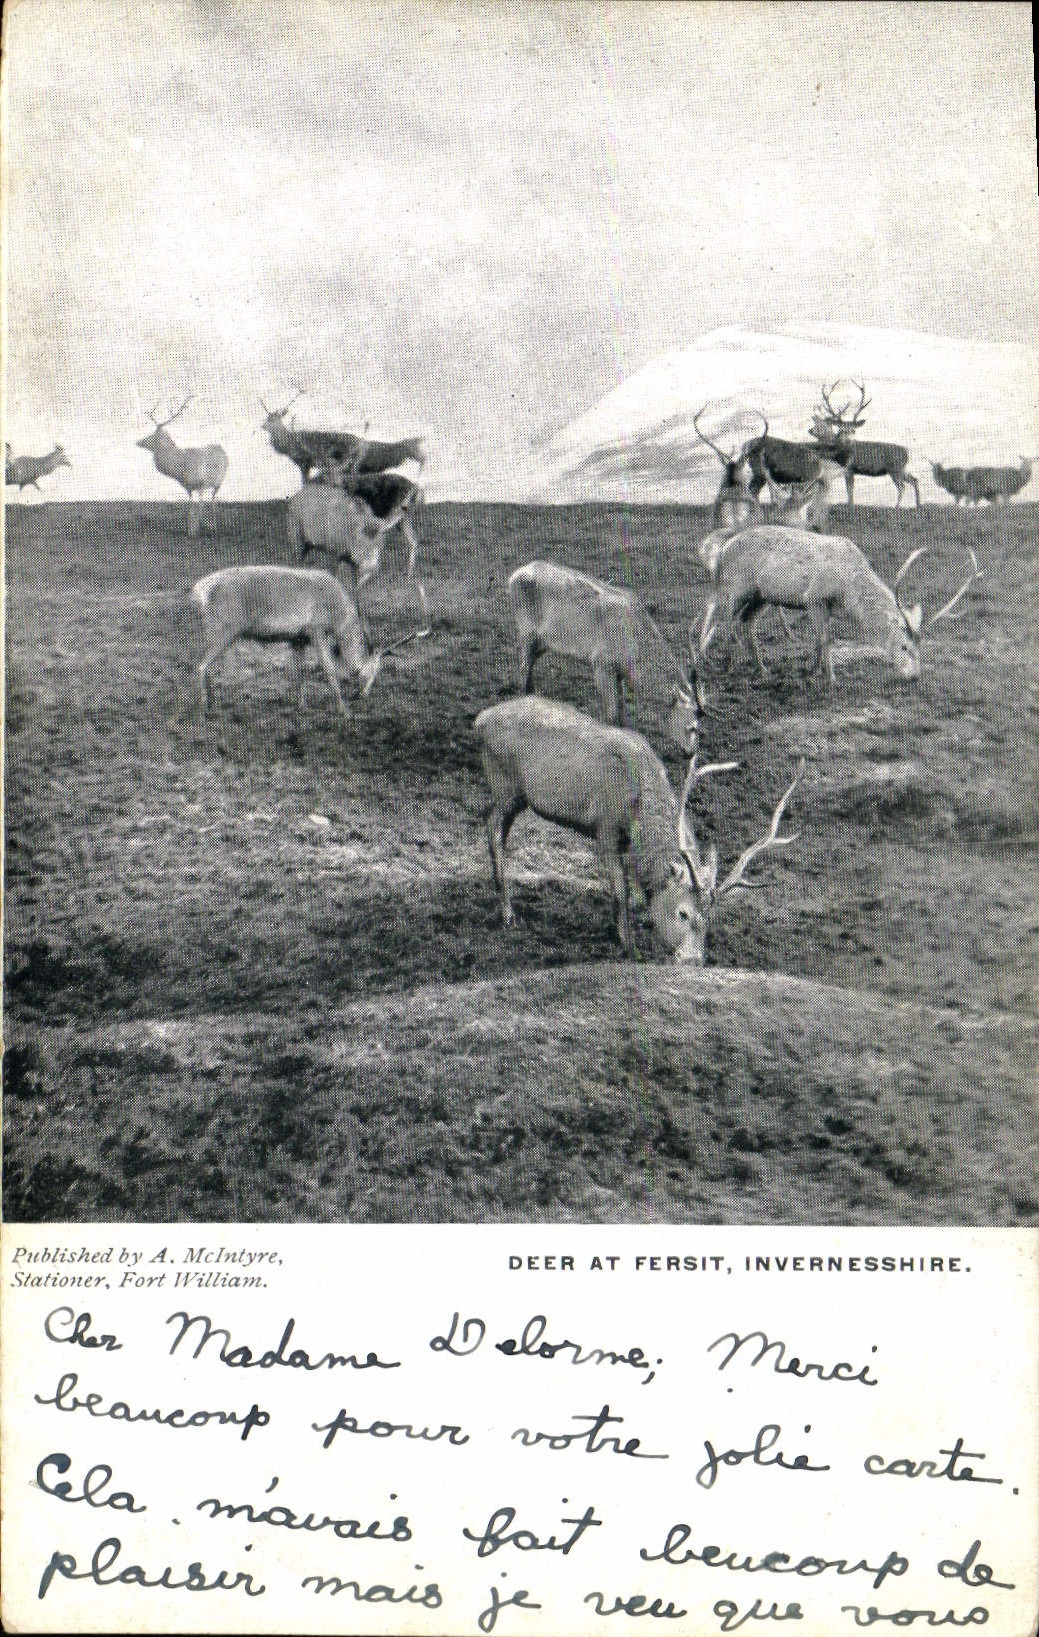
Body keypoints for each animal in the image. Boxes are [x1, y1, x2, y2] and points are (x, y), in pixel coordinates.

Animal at [136, 397, 228, 535]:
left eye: (152, 435)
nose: (138, 441)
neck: (180, 469)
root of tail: (222, 449)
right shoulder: (188, 487)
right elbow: (190, 508)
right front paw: (190, 531)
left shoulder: (201, 484)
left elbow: (200, 507)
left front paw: (199, 530)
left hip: (218, 482)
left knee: (213, 502)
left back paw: (214, 527)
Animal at [475, 694, 801, 962]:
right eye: (683, 913)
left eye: (710, 917)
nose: (693, 960)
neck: (636, 805)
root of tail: (481, 719)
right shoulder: (604, 825)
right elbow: (622, 891)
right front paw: (628, 945)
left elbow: (629, 889)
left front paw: (615, 928)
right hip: (506, 785)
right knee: (492, 827)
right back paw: (507, 913)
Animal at [507, 560, 704, 756]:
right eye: (692, 727)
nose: (691, 752)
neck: (634, 655)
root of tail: (513, 577)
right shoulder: (601, 663)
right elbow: (611, 713)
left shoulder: (619, 672)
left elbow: (622, 709)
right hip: (527, 629)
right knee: (523, 665)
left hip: (544, 642)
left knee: (529, 663)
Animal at [700, 525, 981, 683]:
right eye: (904, 646)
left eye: (921, 648)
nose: (914, 676)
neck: (848, 593)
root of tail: (722, 550)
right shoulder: (813, 597)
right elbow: (826, 639)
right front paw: (831, 679)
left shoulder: (827, 607)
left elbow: (818, 639)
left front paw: (812, 671)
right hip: (735, 587)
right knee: (721, 620)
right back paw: (724, 665)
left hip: (761, 596)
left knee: (745, 622)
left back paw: (762, 669)